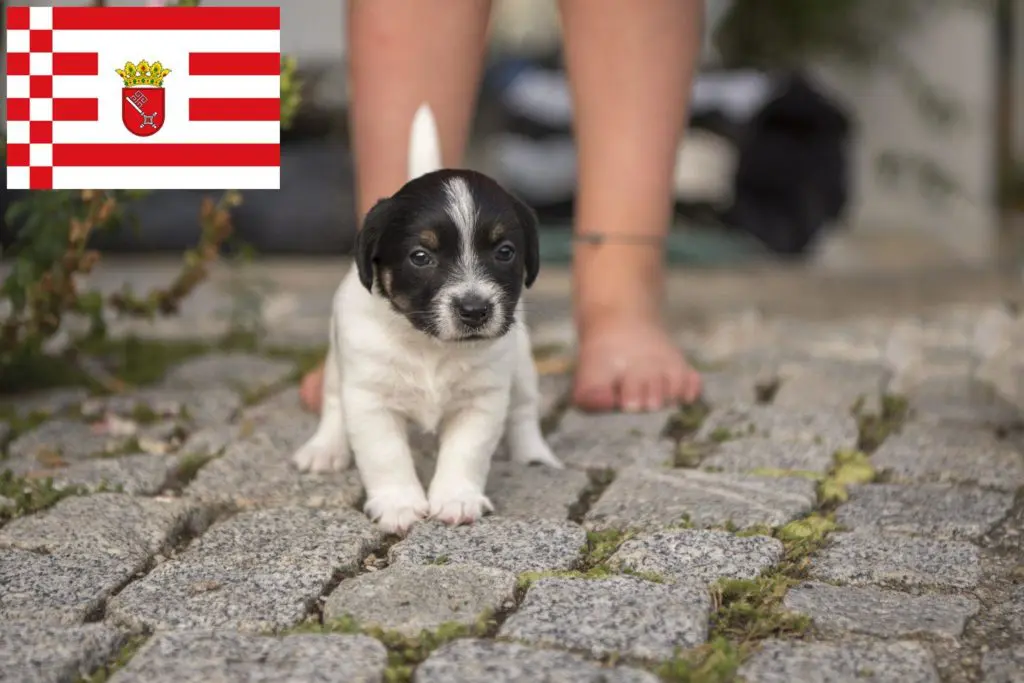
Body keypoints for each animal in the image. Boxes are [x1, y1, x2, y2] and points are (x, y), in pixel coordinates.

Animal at [292, 104, 565, 536]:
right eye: (421, 257)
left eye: (505, 251)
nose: (474, 310)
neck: (429, 345)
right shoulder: (369, 399)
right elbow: (385, 455)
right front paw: (399, 504)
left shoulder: (482, 400)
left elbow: (466, 452)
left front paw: (456, 498)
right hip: (338, 367)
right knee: (333, 403)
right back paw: (325, 448)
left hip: (521, 365)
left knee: (524, 408)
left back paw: (534, 455)